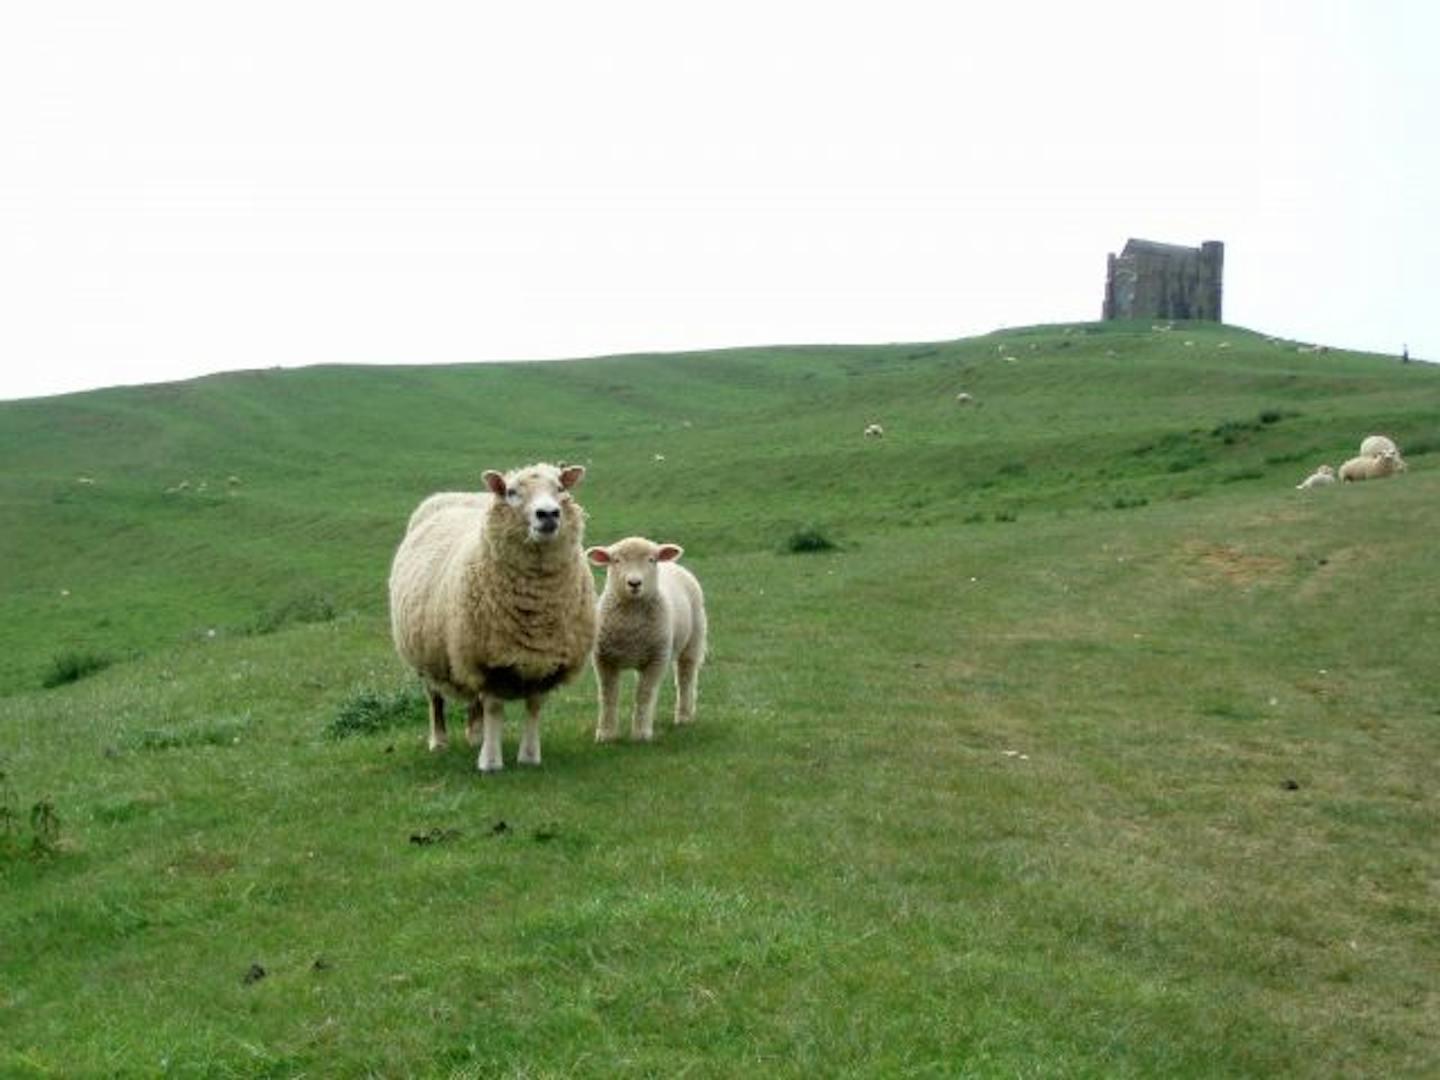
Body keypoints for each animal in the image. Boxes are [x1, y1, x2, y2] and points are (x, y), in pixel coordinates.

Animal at [385, 460, 599, 771]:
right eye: (511, 492)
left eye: (560, 488)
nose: (548, 514)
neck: (536, 605)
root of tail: (454, 495)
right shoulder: (488, 658)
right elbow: (494, 707)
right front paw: (491, 762)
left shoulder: (545, 658)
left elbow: (534, 705)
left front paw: (529, 756)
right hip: (429, 653)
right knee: (435, 698)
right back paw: (439, 741)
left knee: (473, 700)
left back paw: (476, 735)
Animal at [584, 538, 708, 743]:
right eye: (616, 560)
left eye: (651, 560)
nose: (634, 583)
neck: (631, 621)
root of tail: (672, 565)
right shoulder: (604, 659)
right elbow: (608, 695)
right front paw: (606, 734)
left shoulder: (657, 658)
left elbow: (645, 694)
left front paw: (641, 734)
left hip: (693, 639)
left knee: (686, 678)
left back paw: (684, 716)